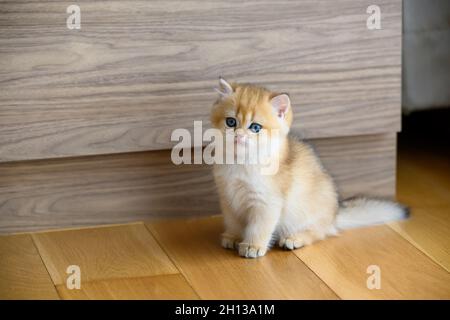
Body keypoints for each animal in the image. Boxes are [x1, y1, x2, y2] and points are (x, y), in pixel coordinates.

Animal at [211, 77, 408, 258]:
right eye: (231, 122)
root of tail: (335, 215)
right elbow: (234, 222)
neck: (240, 162)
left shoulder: (266, 203)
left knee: (319, 233)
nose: (239, 136)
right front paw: (233, 237)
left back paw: (294, 239)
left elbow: (259, 227)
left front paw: (253, 246)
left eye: (255, 127)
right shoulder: (228, 199)